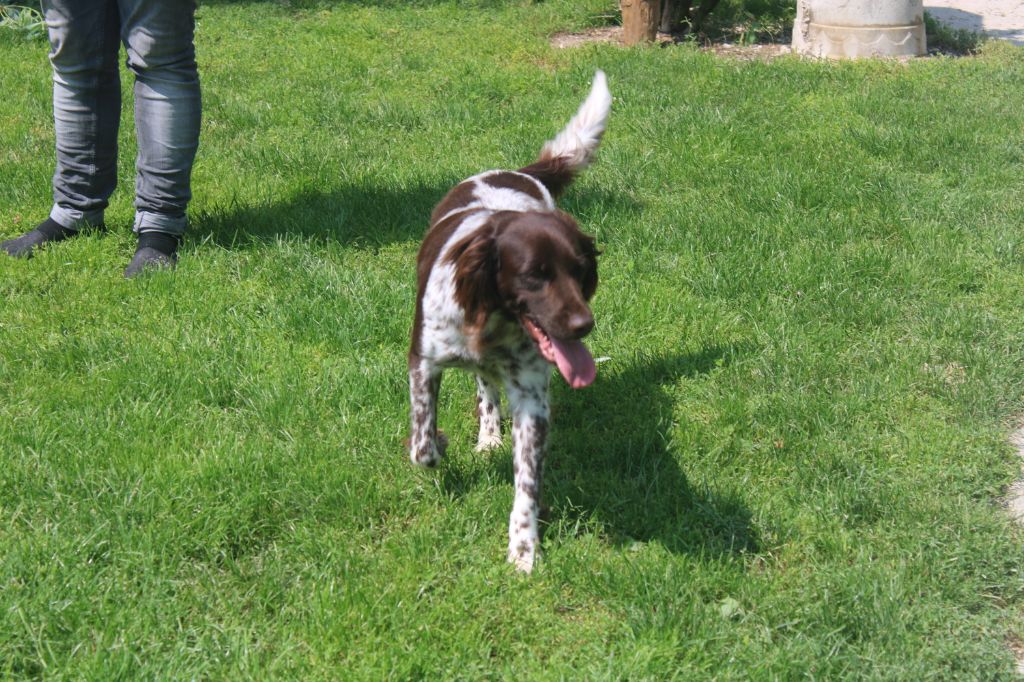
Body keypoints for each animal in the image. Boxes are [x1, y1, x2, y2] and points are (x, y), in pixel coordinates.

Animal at [408, 71, 611, 572]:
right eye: (534, 275)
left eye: (581, 270)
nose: (583, 326)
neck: (493, 323)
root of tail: (517, 172)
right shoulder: (423, 361)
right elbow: (422, 446)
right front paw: (442, 442)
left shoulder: (532, 397)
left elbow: (528, 484)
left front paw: (524, 548)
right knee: (482, 386)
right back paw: (487, 436)